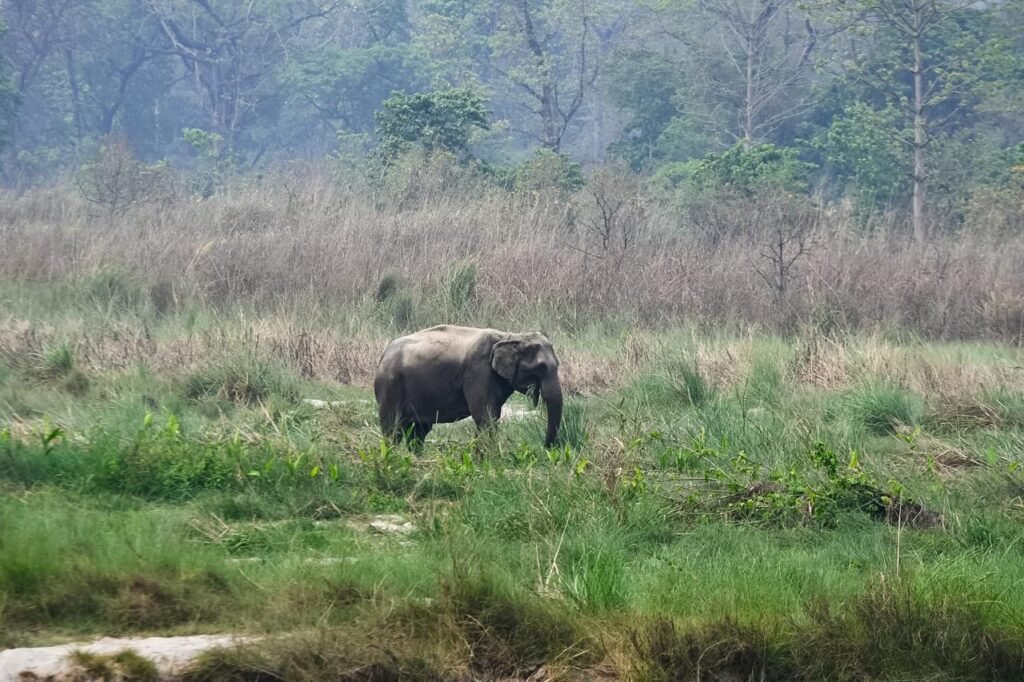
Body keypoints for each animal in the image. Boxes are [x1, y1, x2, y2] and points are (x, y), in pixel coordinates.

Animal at [373, 325, 563, 449]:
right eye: (541, 367)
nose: (545, 448)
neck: (511, 336)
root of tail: (383, 355)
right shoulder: (478, 372)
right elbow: (484, 417)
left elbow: (491, 416)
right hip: (390, 387)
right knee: (393, 429)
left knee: (418, 432)